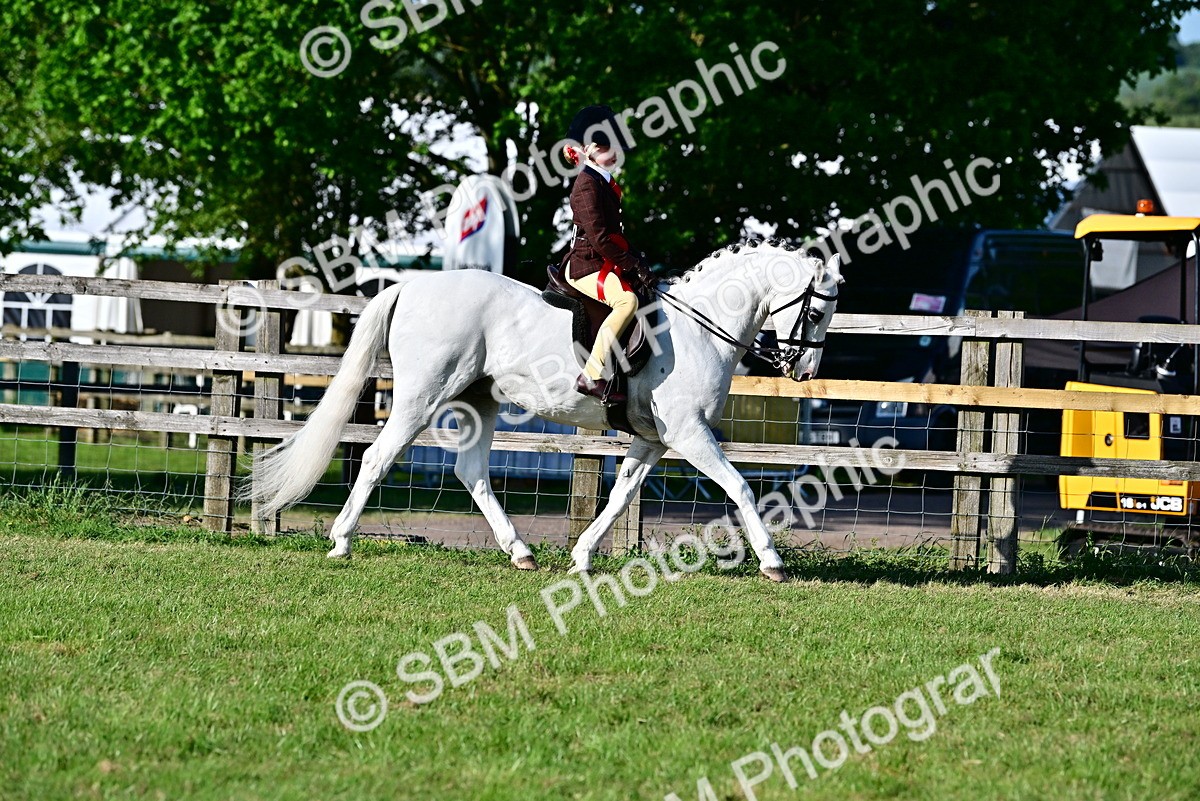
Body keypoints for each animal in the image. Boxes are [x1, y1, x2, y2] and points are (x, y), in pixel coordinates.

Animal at [243, 241, 843, 581]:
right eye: (816, 310)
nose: (804, 370)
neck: (700, 327)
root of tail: (412, 285)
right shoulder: (690, 435)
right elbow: (740, 488)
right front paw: (771, 563)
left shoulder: (652, 439)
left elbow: (620, 498)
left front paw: (581, 556)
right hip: (422, 396)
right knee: (376, 458)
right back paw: (341, 542)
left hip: (479, 399)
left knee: (471, 471)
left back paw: (521, 553)